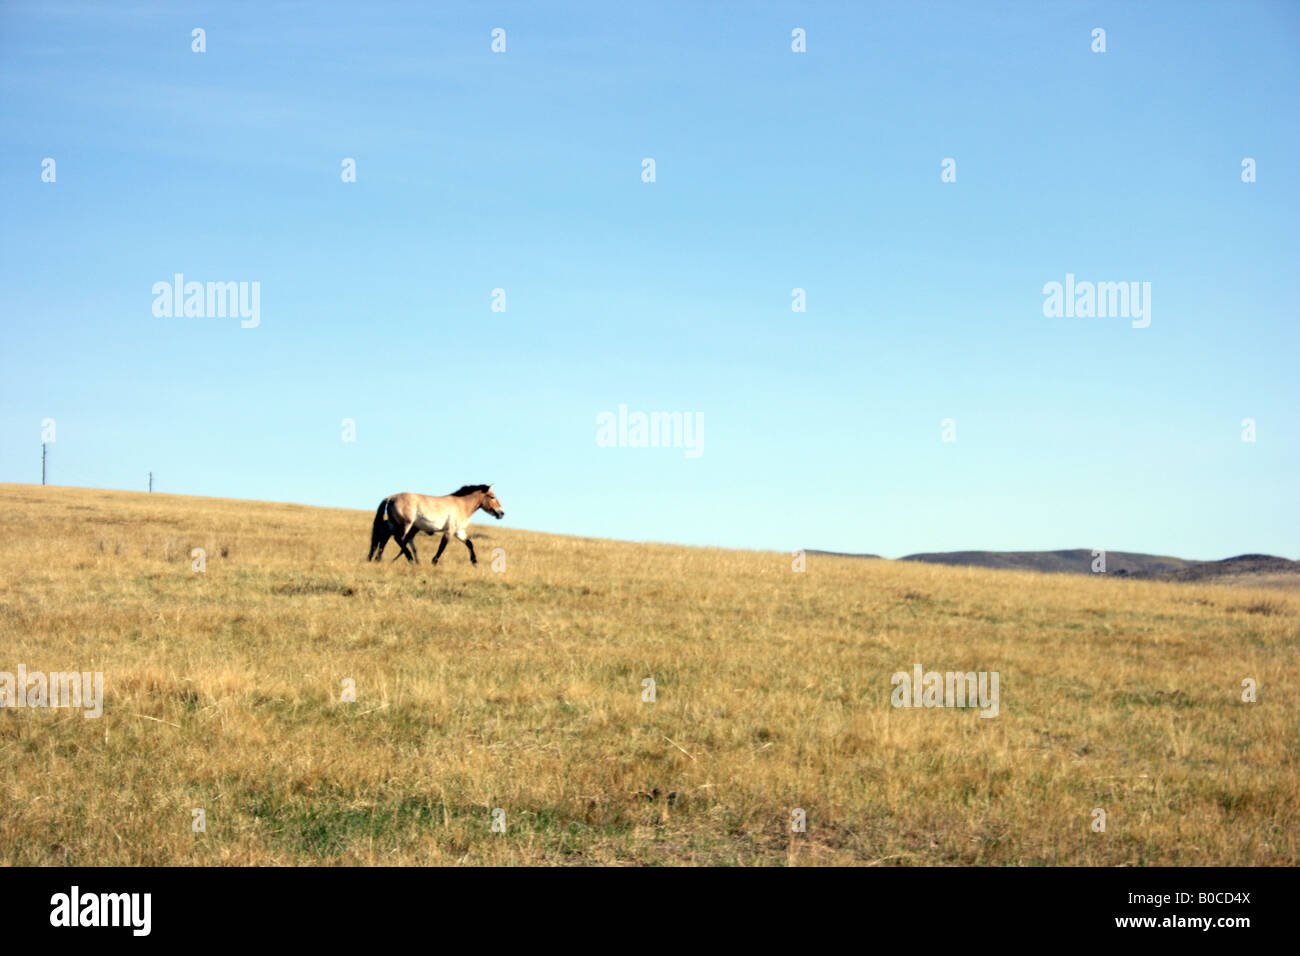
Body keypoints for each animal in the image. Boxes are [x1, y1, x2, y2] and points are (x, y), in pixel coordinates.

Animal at [371, 481, 506, 564]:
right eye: (492, 497)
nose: (501, 513)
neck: (461, 505)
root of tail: (391, 498)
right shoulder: (449, 531)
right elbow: (442, 546)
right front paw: (434, 561)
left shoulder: (458, 531)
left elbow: (469, 543)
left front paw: (475, 562)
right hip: (405, 524)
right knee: (398, 538)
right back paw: (410, 559)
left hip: (395, 524)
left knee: (385, 536)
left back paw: (378, 558)